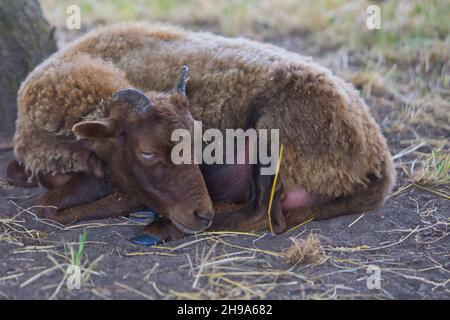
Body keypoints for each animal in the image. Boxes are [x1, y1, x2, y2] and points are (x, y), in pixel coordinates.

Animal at [6, 23, 394, 245]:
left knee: (264, 215)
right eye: (147, 153)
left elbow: (53, 207)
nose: (200, 213)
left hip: (274, 132)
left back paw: (158, 230)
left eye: (199, 144)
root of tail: (378, 160)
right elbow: (36, 190)